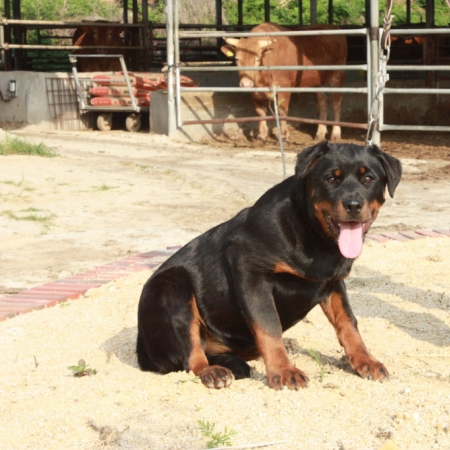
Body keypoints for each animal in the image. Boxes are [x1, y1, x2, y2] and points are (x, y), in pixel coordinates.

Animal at [135, 142, 402, 390]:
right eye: (330, 179)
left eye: (368, 178)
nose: (353, 205)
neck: (313, 233)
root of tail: (142, 348)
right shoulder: (250, 273)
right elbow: (268, 325)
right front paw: (283, 371)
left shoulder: (333, 282)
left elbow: (348, 322)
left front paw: (365, 360)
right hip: (171, 288)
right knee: (191, 354)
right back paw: (212, 371)